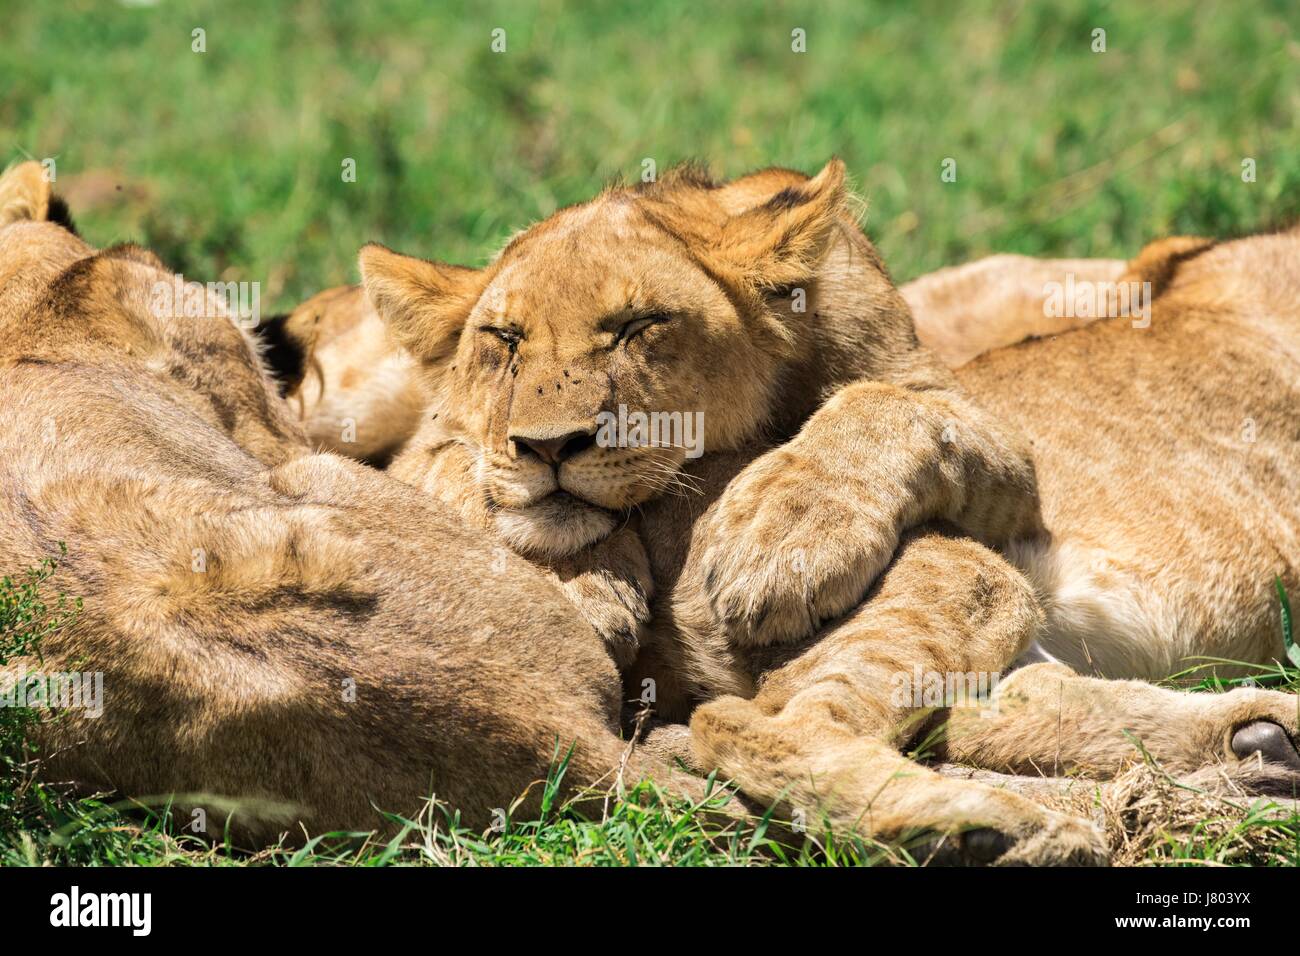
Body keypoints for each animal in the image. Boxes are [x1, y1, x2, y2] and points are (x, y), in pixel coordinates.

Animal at [282, 158, 1300, 868]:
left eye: (638, 328)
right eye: (502, 339)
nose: (548, 446)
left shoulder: (988, 432)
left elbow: (881, 407)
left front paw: (780, 533)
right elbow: (449, 459)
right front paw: (587, 576)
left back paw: (1255, 742)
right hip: (973, 575)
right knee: (760, 724)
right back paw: (990, 830)